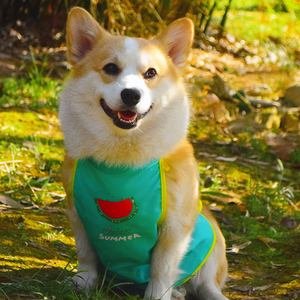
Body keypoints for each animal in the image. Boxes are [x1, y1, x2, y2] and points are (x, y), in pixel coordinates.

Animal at [59, 7, 229, 300]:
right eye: (110, 68)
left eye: (150, 73)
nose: (131, 95)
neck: (122, 158)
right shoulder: (77, 212)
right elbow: (86, 254)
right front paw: (83, 281)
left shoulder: (174, 228)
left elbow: (162, 269)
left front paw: (157, 295)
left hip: (211, 235)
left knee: (205, 284)